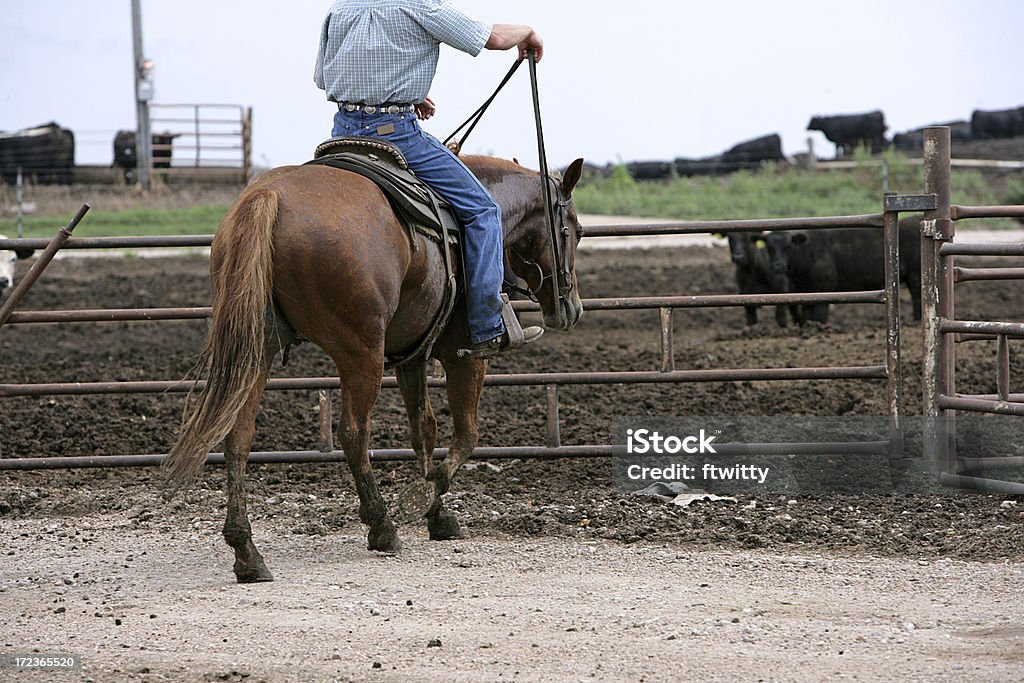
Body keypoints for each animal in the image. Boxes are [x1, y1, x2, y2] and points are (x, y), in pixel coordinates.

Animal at [161, 153, 585, 581]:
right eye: (577, 231)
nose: (572, 308)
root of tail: (268, 197)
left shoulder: (412, 356)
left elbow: (423, 431)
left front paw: (438, 515)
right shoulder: (463, 353)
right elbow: (467, 434)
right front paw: (423, 495)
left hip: (258, 346)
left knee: (238, 435)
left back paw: (247, 553)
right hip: (360, 350)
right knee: (353, 432)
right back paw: (382, 526)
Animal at [765, 219, 925, 325]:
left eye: (788, 246)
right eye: (768, 247)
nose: (778, 266)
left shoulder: (824, 291)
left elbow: (820, 316)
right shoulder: (806, 294)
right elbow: (808, 316)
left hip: (916, 275)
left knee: (917, 298)